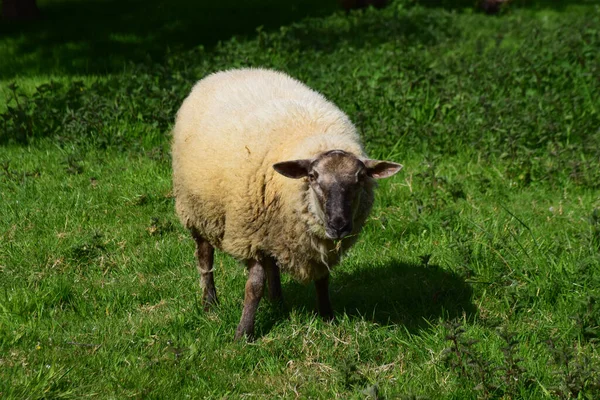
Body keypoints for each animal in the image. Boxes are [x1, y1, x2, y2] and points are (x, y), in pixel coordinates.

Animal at [171, 67, 400, 340]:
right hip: (198, 211)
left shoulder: (309, 241)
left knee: (272, 264)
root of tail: (229, 71)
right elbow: (253, 287)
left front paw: (328, 318)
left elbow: (322, 279)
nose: (339, 225)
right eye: (312, 176)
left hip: (271, 228)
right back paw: (210, 303)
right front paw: (243, 334)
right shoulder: (251, 236)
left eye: (360, 177)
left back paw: (277, 301)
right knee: (205, 258)